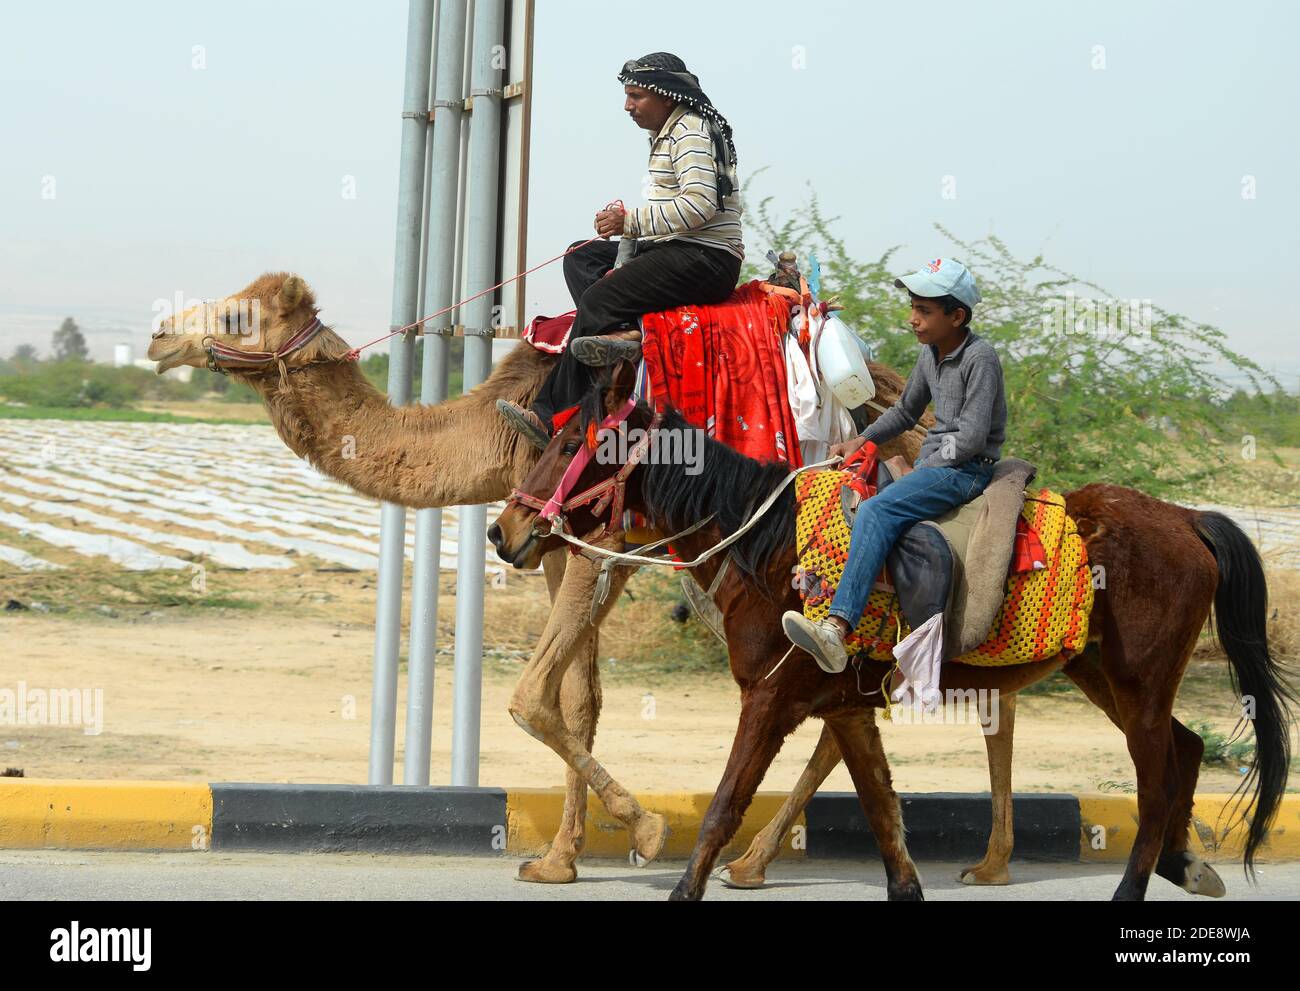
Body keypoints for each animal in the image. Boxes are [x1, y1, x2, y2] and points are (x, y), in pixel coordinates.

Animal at [149, 271, 1024, 889]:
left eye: (236, 317)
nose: (159, 333)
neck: (502, 425)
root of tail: (897, 399)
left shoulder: (592, 541)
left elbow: (533, 694)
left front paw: (642, 829)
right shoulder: (545, 542)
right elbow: (579, 698)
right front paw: (559, 858)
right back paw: (786, 860)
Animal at [491, 361, 1294, 894]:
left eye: (572, 446)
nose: (506, 532)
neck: (772, 548)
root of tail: (1188, 520)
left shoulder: (770, 701)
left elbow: (722, 809)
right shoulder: (845, 707)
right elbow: (883, 816)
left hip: (1138, 682)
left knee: (1154, 789)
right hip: (1104, 674)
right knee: (1186, 750)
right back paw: (1186, 864)